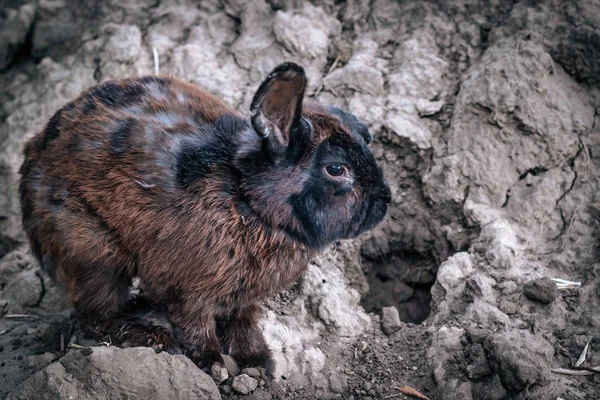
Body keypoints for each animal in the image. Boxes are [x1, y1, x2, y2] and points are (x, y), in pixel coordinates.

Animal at [18, 61, 392, 372]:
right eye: (336, 169)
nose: (384, 201)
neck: (249, 201)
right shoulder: (187, 289)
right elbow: (196, 324)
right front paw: (214, 364)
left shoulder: (245, 298)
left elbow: (243, 324)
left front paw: (258, 363)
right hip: (94, 252)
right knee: (95, 314)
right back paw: (151, 336)